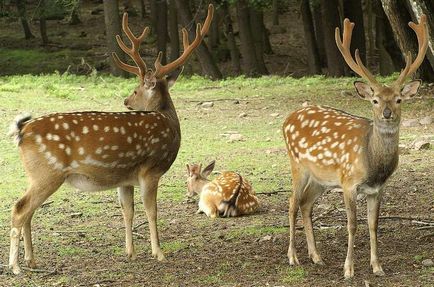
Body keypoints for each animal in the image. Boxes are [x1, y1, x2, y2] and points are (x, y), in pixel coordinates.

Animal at [7, 3, 214, 274]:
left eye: (135, 90)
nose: (126, 101)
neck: (167, 122)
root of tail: (22, 131)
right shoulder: (150, 169)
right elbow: (152, 211)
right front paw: (159, 253)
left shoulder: (125, 178)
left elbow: (128, 211)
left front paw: (130, 253)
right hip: (47, 172)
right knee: (19, 209)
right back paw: (15, 266)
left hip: (36, 174)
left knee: (29, 211)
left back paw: (31, 260)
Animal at [282, 14, 428, 280]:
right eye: (375, 100)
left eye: (398, 99)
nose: (387, 113)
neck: (373, 164)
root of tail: (287, 118)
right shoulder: (349, 183)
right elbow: (352, 224)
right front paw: (348, 269)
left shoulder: (377, 189)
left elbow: (373, 224)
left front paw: (377, 266)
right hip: (297, 165)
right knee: (291, 203)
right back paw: (293, 257)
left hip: (321, 179)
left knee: (306, 204)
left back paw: (316, 257)